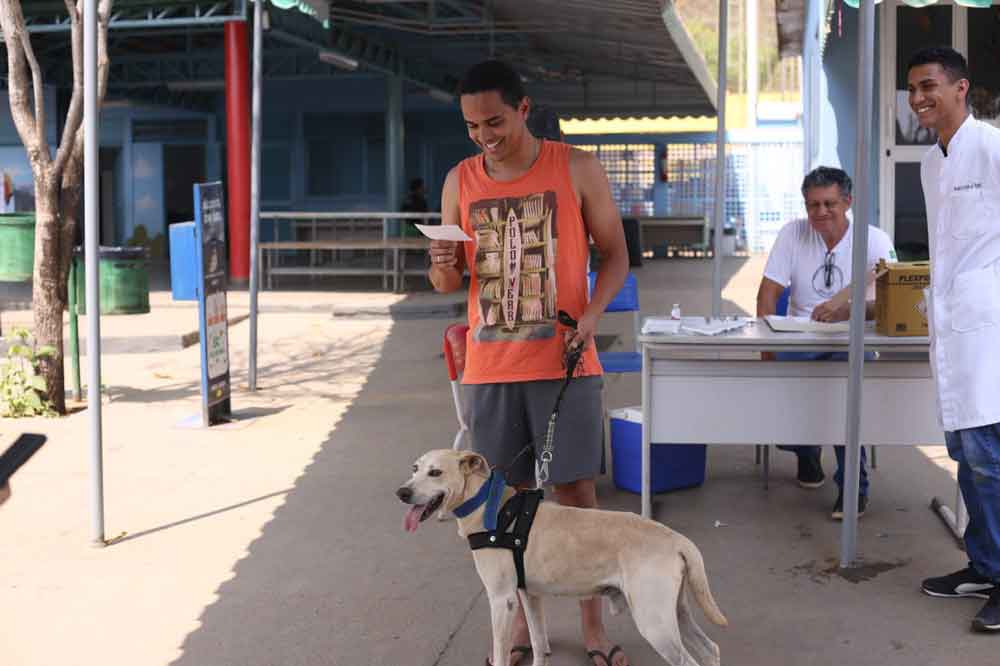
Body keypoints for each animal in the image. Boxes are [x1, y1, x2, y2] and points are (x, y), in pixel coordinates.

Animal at [394, 446, 732, 664]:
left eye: (436, 472)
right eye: (415, 469)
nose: (402, 492)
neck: (490, 508)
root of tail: (675, 539)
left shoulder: (501, 600)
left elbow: (502, 654)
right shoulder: (528, 595)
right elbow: (537, 643)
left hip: (654, 622)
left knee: (689, 660)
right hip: (675, 611)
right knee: (710, 650)